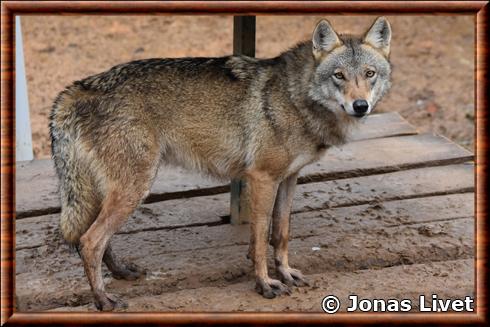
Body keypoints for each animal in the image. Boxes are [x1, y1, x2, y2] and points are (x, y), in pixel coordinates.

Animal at [49, 16, 392, 312]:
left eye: (369, 74)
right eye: (339, 76)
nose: (360, 106)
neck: (296, 96)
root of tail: (75, 89)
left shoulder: (289, 178)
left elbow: (281, 233)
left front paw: (286, 273)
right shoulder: (262, 178)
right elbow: (260, 238)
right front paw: (265, 284)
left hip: (108, 192)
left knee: (91, 238)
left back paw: (121, 273)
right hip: (133, 189)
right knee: (89, 241)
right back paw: (103, 300)